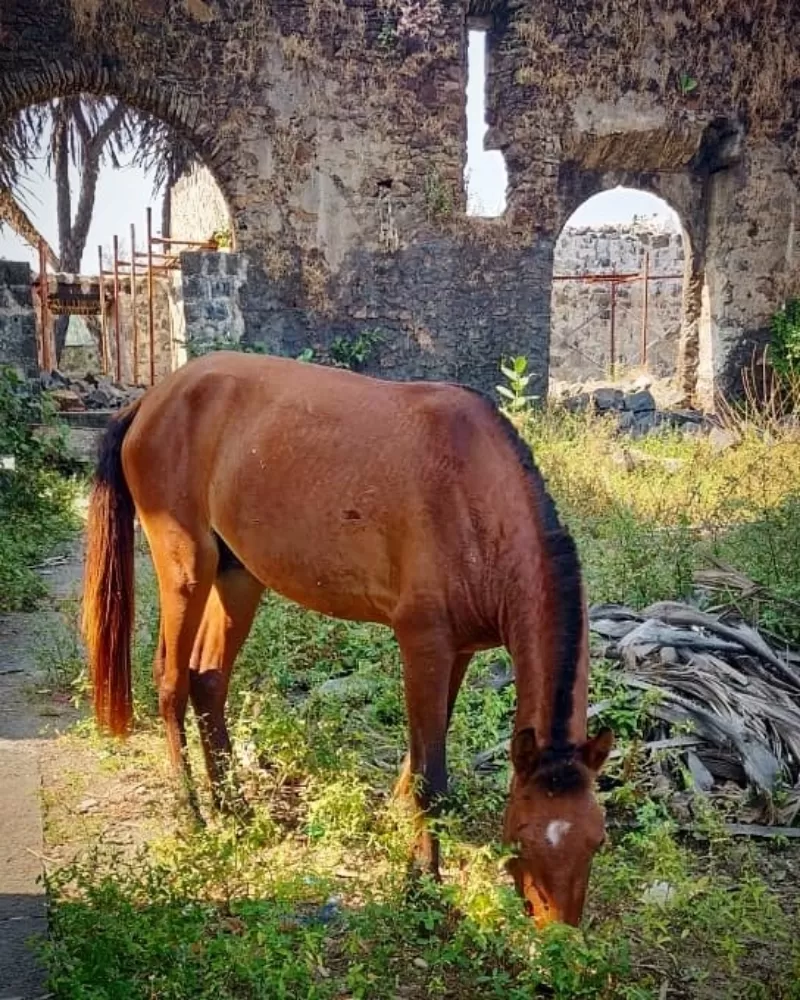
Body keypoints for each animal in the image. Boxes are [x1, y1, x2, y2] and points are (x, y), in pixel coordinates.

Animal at [83, 354, 612, 928]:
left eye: (596, 841)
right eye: (523, 836)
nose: (557, 937)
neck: (475, 499)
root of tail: (152, 400)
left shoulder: (459, 652)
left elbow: (423, 753)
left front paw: (397, 827)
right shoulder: (423, 644)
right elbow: (432, 776)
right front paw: (421, 885)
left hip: (237, 574)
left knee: (208, 680)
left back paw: (234, 808)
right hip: (187, 567)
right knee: (172, 680)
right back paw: (193, 813)